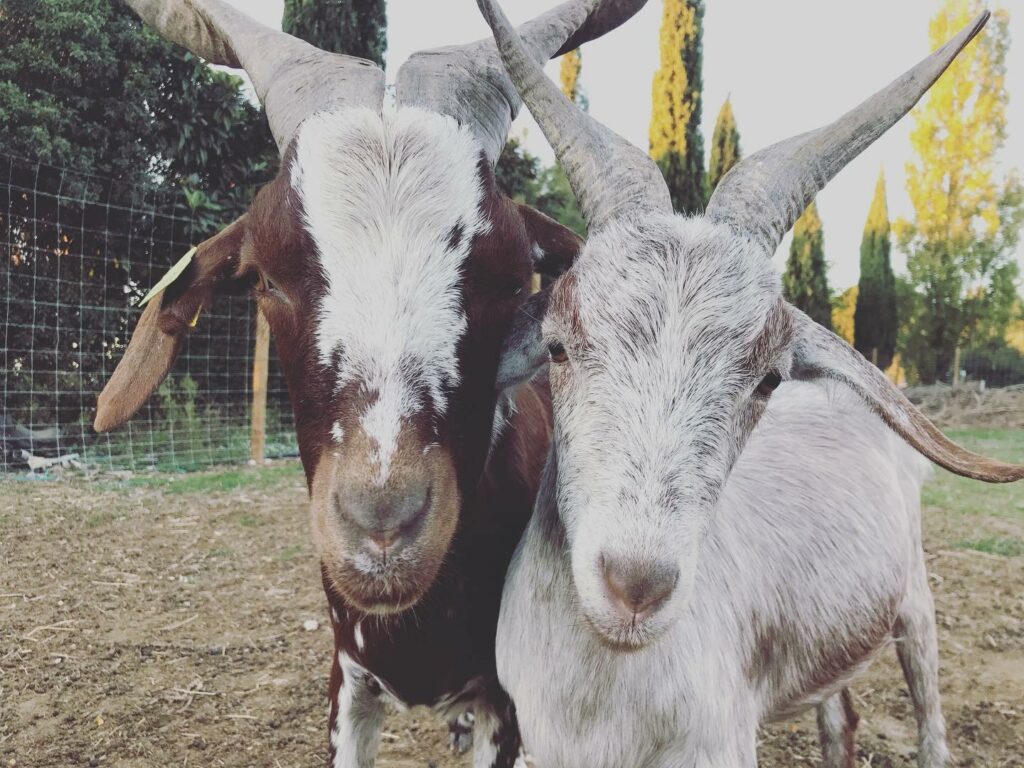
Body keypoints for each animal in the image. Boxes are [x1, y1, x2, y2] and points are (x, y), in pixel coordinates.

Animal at [479, 3, 1024, 765]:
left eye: (767, 378)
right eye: (556, 347)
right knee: (840, 716)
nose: (636, 585)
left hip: (916, 605)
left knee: (930, 718)